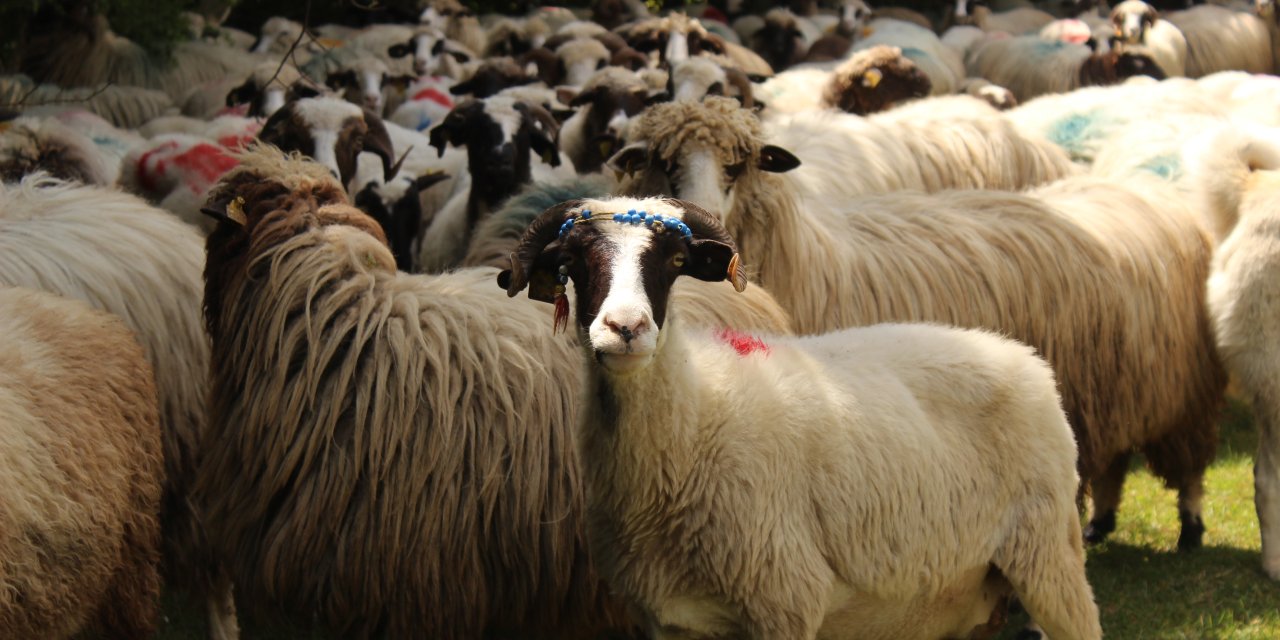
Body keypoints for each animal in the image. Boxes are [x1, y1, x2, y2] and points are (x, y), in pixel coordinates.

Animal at [496, 194, 1100, 640]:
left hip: (1049, 554)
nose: (625, 328)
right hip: (964, 590)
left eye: (674, 262)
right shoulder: (666, 619)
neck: (696, 421)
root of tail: (1021, 355)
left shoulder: (783, 599)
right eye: (572, 264)